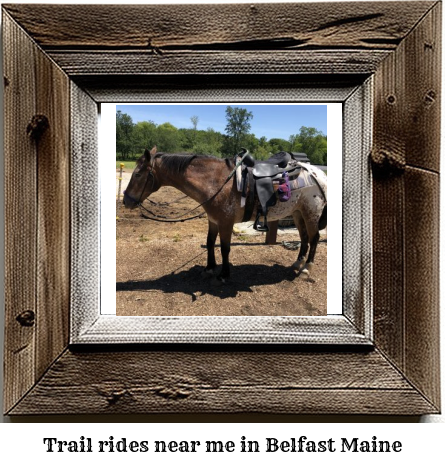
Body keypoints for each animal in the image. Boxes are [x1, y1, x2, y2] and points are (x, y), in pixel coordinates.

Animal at [122, 147, 326, 280]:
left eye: (138, 174)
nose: (126, 200)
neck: (217, 181)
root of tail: (317, 172)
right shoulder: (213, 220)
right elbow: (210, 243)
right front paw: (209, 268)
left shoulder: (226, 222)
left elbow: (225, 248)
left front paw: (224, 274)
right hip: (298, 212)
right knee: (304, 237)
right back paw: (298, 264)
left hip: (311, 213)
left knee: (314, 237)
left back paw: (306, 268)